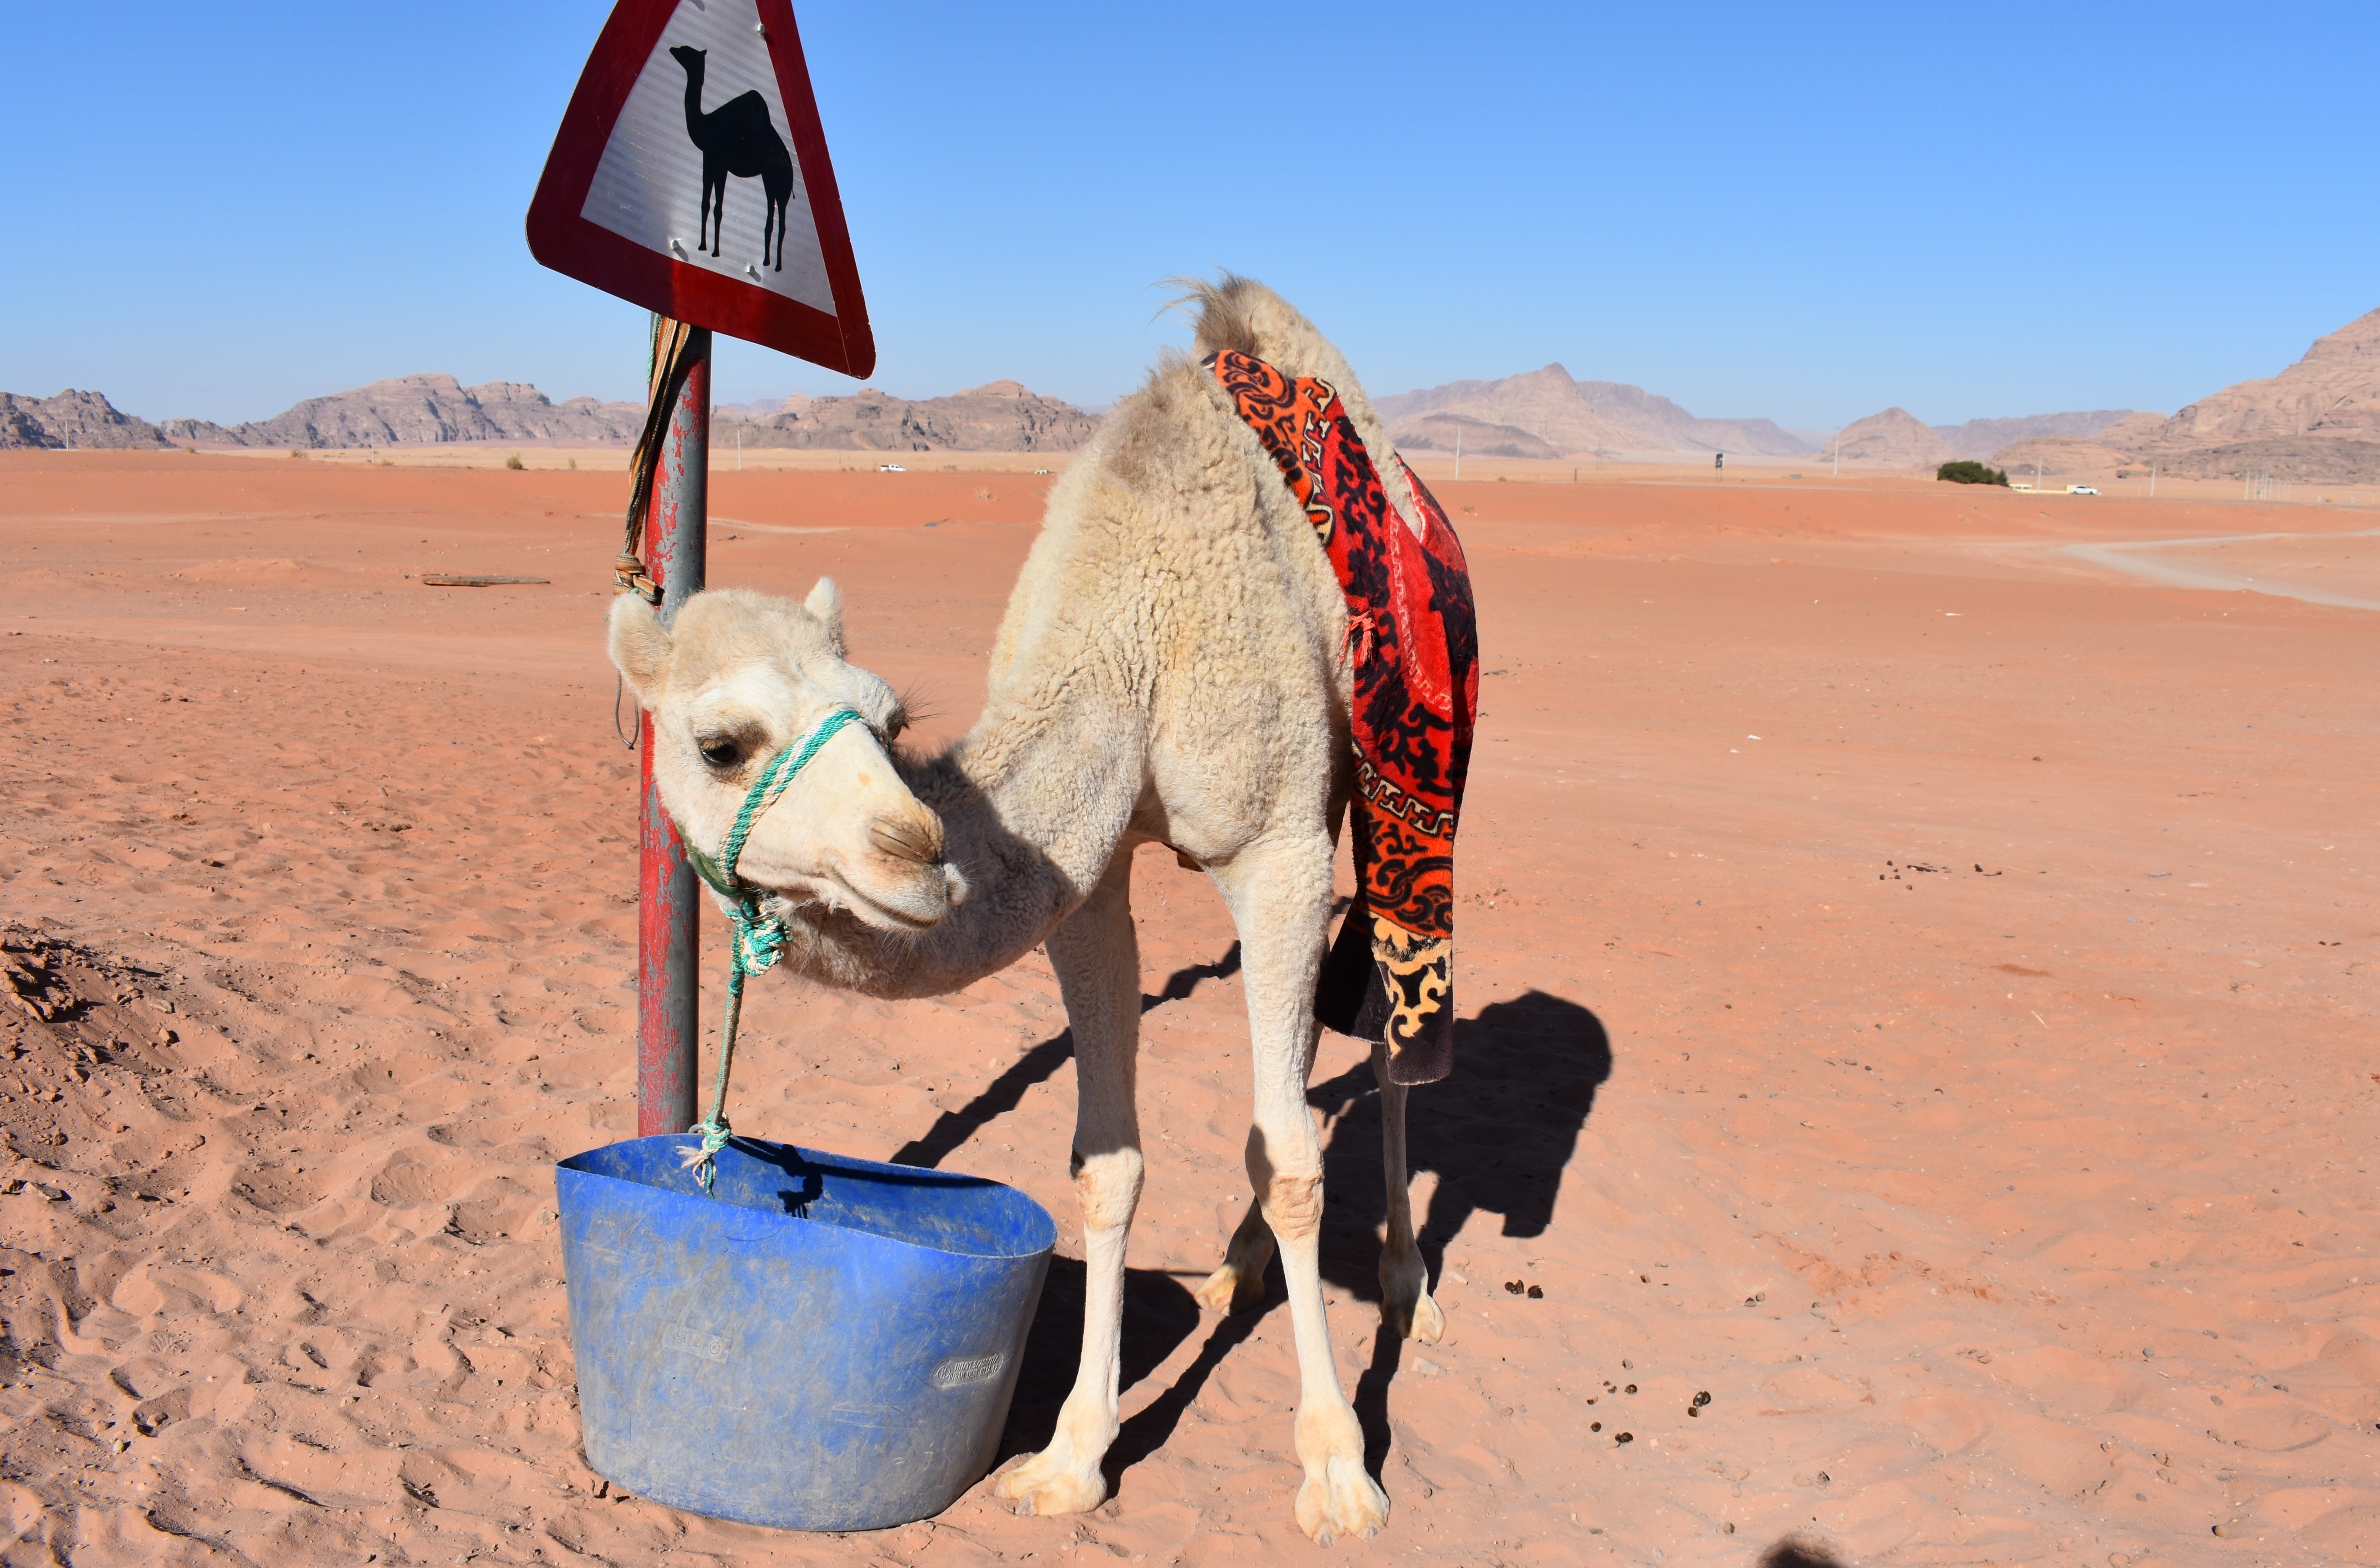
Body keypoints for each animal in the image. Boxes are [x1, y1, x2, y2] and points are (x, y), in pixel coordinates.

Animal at [604, 279, 1438, 1542]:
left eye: (888, 719)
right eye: (721, 743)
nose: (914, 850)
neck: (1138, 640)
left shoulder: (1278, 846)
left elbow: (1294, 1165)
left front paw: (1339, 1470)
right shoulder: (1087, 883)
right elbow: (1111, 1162)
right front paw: (1070, 1456)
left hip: (1391, 786)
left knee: (1386, 1037)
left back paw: (1402, 1285)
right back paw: (1234, 1267)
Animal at [666, 45, 795, 272]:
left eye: (686, 51)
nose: (673, 48)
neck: (706, 124)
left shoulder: (718, 162)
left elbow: (717, 208)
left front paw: (714, 251)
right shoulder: (710, 160)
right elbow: (706, 204)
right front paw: (703, 247)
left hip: (781, 184)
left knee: (782, 223)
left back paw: (777, 265)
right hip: (769, 180)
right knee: (772, 220)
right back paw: (767, 262)